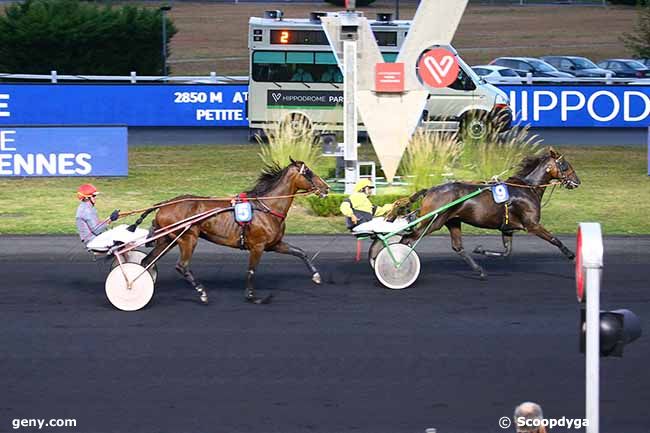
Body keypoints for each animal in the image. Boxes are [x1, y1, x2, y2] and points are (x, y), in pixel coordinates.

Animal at [135, 159, 330, 304]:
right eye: (308, 172)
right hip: (187, 238)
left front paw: (317, 276)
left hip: (167, 239)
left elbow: (301, 252)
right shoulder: (258, 246)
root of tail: (164, 204)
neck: (267, 207)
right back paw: (201, 292)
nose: (326, 188)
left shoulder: (274, 244)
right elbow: (251, 270)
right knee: (181, 266)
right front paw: (252, 296)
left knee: (147, 261)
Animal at [392, 147, 580, 278]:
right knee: (408, 239)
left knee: (457, 247)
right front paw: (572, 255)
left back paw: (480, 270)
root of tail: (430, 190)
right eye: (565, 165)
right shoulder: (532, 225)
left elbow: (506, 252)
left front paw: (480, 249)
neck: (527, 188)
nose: (577, 182)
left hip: (452, 221)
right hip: (433, 221)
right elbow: (554, 239)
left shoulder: (508, 228)